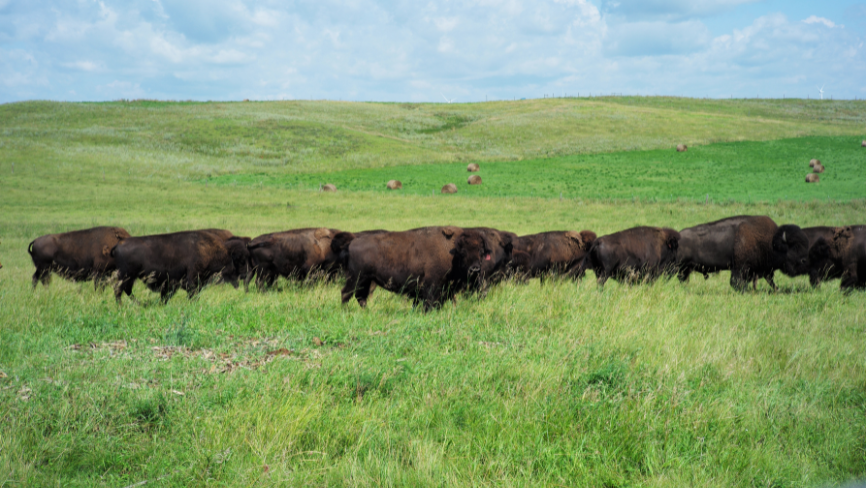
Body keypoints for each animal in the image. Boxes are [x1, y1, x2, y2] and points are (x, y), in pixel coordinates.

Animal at [112, 229, 250, 304]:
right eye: (240, 260)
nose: (244, 274)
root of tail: (118, 245)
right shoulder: (192, 279)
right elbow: (192, 293)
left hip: (130, 278)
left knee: (126, 291)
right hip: (127, 276)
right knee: (120, 290)